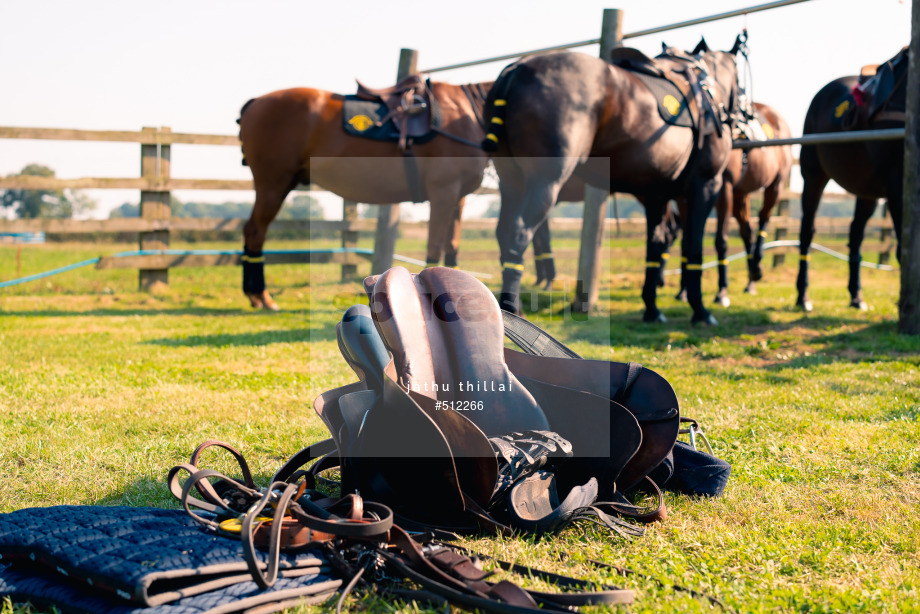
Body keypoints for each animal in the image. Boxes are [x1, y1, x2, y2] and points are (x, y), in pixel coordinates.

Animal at [241, 81, 492, 310]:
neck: (466, 114)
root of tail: (256, 102)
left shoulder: (458, 198)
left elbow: (452, 245)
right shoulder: (443, 193)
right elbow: (435, 247)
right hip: (273, 185)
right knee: (255, 231)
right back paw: (261, 296)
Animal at [482, 42, 740, 328]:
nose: (742, 117)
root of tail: (515, 70)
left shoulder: (656, 194)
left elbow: (655, 245)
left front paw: (652, 308)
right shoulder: (705, 185)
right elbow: (693, 247)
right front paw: (700, 310)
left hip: (512, 182)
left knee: (505, 234)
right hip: (545, 184)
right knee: (519, 234)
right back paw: (513, 308)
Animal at [796, 46, 904, 312]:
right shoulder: (897, 188)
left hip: (868, 192)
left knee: (855, 235)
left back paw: (856, 296)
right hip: (813, 177)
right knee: (807, 233)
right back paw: (803, 296)